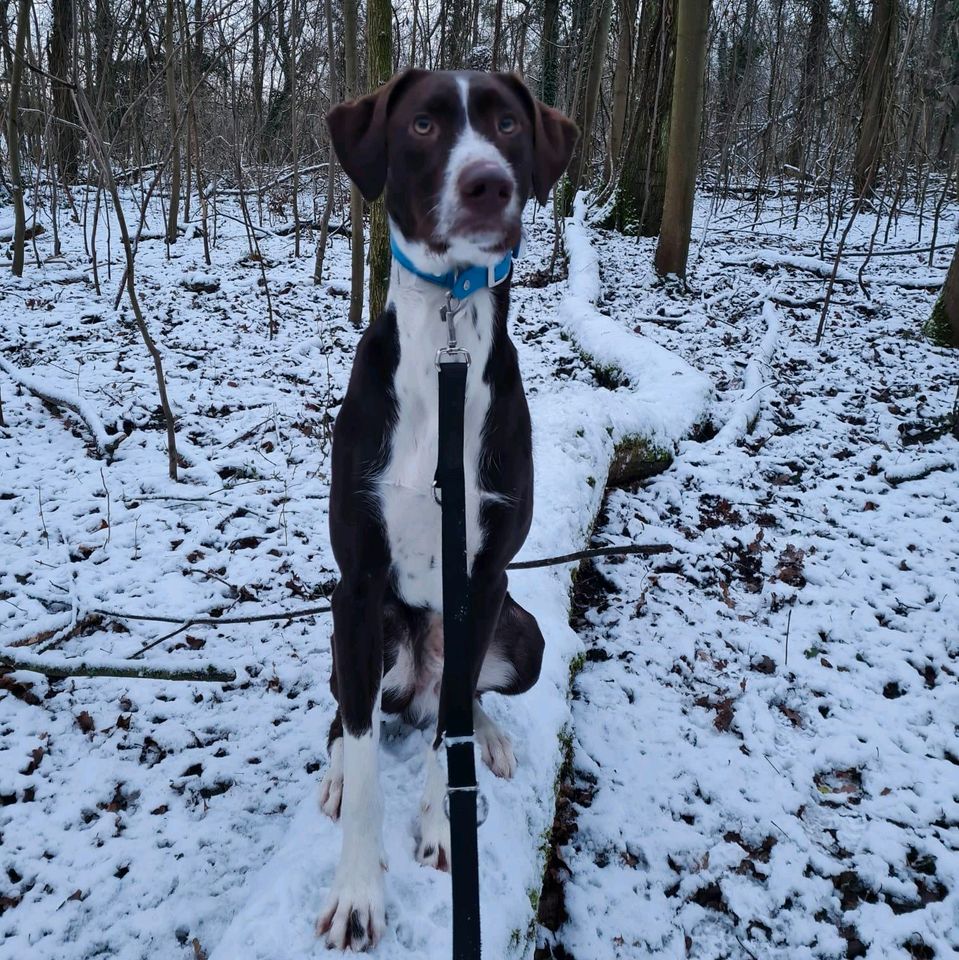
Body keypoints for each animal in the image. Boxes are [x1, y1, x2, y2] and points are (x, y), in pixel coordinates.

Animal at [320, 71, 576, 948]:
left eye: (507, 125)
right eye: (425, 124)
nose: (487, 184)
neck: (445, 344)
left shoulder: (486, 575)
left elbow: (451, 727)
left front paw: (439, 825)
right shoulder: (358, 584)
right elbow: (365, 749)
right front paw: (358, 890)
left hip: (521, 632)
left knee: (464, 700)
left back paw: (486, 739)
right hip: (357, 628)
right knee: (350, 709)